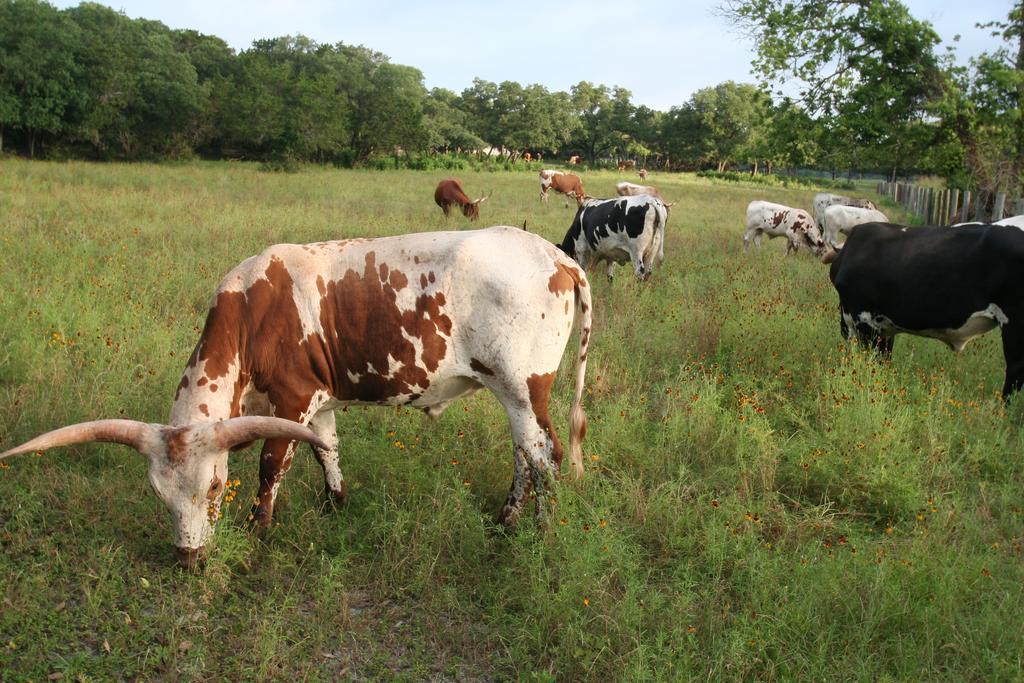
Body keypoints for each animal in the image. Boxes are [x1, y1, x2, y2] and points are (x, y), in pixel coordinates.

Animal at [2, 227, 593, 569]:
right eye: (156, 493)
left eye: (213, 489)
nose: (190, 559)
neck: (252, 311)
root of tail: (554, 256)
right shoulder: (320, 401)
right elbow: (324, 449)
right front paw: (336, 503)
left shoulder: (293, 398)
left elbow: (272, 463)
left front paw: (258, 527)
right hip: (513, 395)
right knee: (525, 456)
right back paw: (507, 517)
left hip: (523, 387)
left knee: (545, 458)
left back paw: (537, 533)